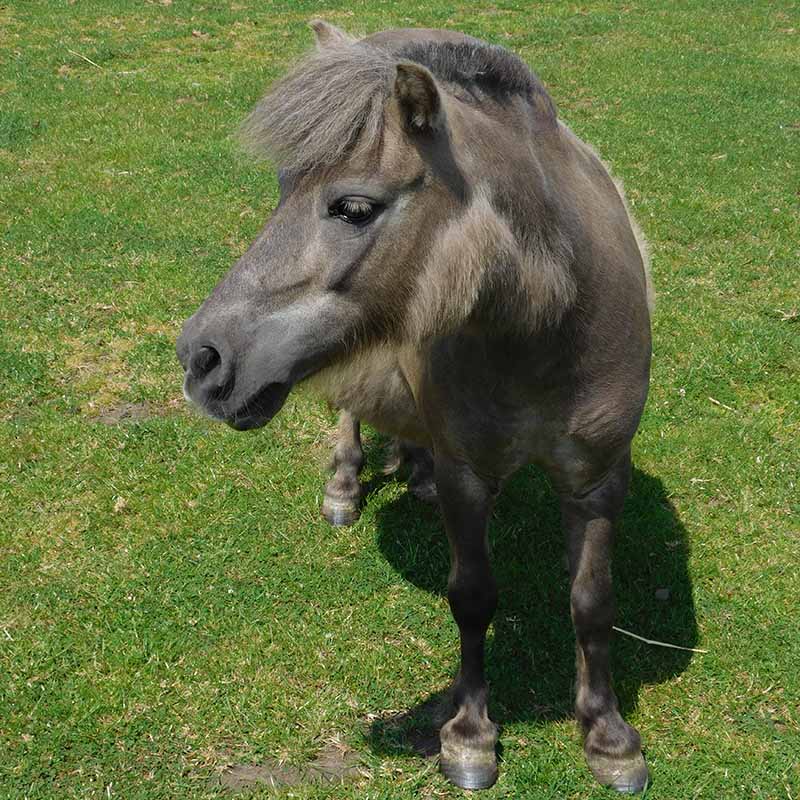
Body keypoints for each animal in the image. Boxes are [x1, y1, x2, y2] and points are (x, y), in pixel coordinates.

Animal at [177, 20, 653, 793]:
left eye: (354, 207)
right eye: (282, 189)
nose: (200, 358)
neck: (547, 328)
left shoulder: (599, 479)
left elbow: (593, 602)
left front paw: (609, 737)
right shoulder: (470, 478)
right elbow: (473, 597)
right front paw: (469, 736)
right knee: (349, 415)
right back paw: (345, 484)